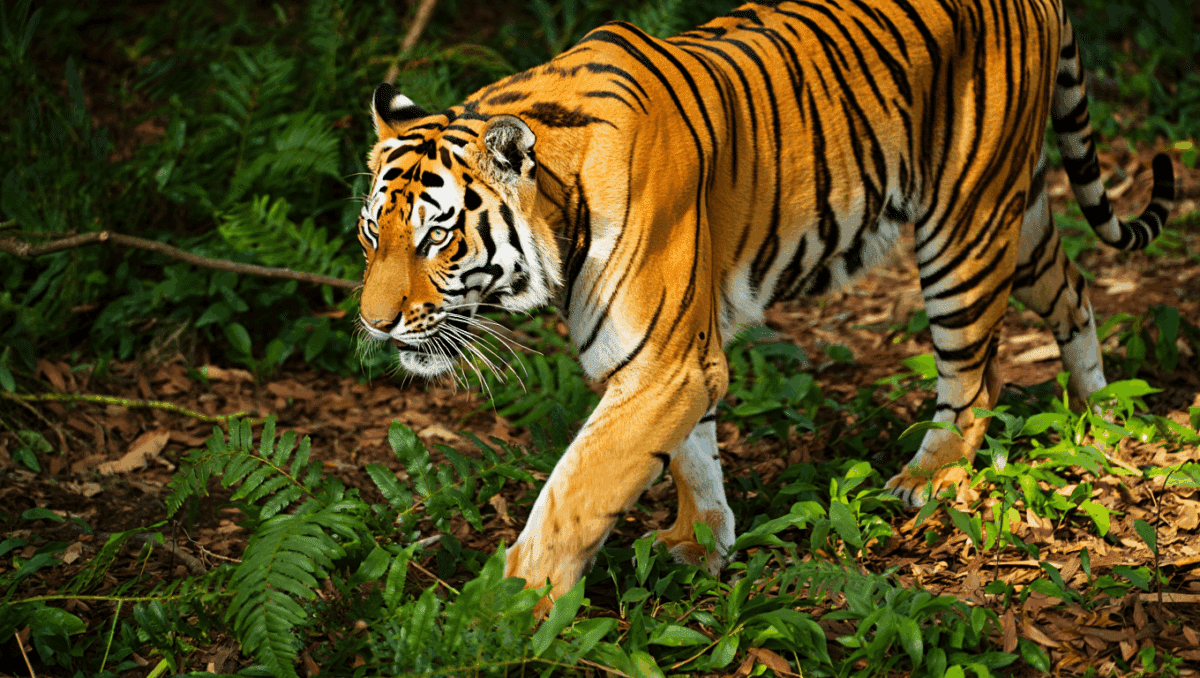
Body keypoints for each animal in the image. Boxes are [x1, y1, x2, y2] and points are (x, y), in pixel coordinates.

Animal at [356, 0, 1176, 610]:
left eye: (436, 236)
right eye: (371, 234)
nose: (373, 322)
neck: (564, 202)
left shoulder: (662, 363)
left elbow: (579, 489)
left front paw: (505, 614)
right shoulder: (676, 357)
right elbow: (691, 454)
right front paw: (702, 542)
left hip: (963, 225)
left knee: (976, 376)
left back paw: (929, 477)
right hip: (1017, 209)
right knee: (1075, 292)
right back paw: (1100, 413)